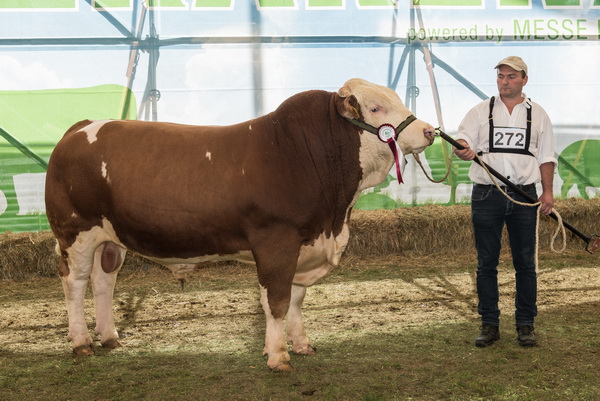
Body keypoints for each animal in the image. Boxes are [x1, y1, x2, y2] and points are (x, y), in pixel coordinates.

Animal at [45, 78, 432, 372]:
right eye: (376, 108)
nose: (429, 131)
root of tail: (81, 127)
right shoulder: (277, 240)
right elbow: (277, 300)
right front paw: (278, 356)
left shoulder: (305, 244)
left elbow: (296, 298)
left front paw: (301, 343)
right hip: (75, 231)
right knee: (75, 282)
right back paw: (81, 341)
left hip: (110, 238)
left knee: (103, 281)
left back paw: (109, 336)